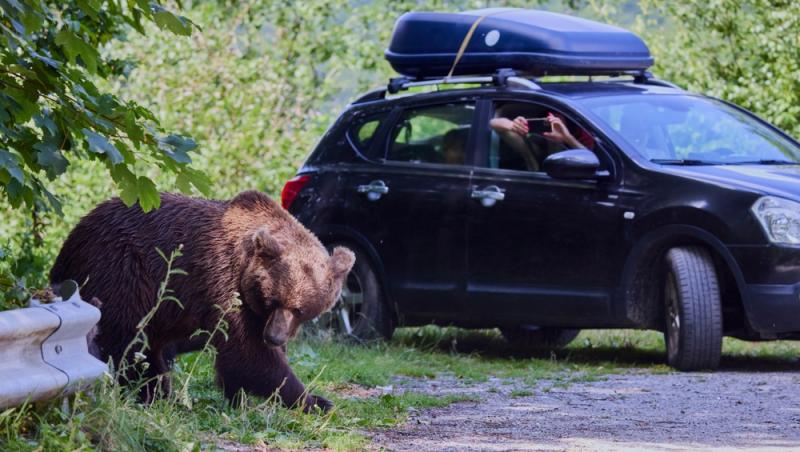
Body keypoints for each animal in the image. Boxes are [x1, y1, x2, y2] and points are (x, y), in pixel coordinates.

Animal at [47, 189, 354, 412]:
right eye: (273, 300)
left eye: (300, 309)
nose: (275, 337)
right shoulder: (222, 282)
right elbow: (249, 354)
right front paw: (312, 400)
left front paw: (240, 397)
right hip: (122, 267)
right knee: (129, 336)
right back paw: (152, 392)